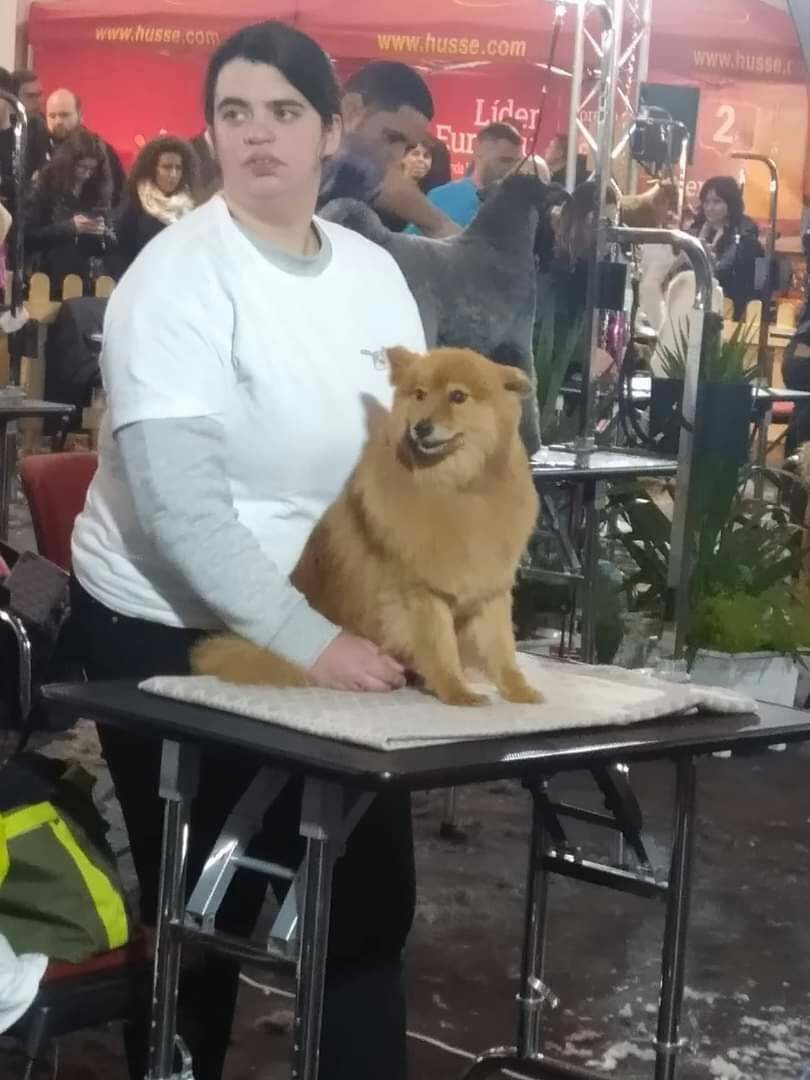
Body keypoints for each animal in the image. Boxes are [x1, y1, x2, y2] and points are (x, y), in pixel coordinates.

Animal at [192, 345, 546, 708]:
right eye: (419, 395)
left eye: (457, 396)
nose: (421, 427)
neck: (457, 487)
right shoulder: (420, 593)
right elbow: (441, 649)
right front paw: (457, 692)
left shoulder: (490, 591)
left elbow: (502, 650)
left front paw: (519, 690)